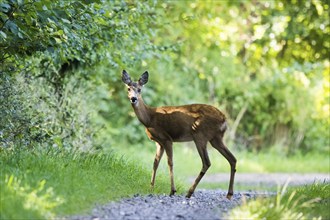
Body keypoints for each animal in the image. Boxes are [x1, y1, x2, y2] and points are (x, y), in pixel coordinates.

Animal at [122, 70, 236, 199]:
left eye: (139, 89)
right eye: (128, 89)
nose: (133, 98)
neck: (149, 118)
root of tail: (224, 118)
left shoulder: (167, 139)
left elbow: (170, 162)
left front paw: (172, 190)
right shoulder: (158, 142)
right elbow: (155, 163)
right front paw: (151, 188)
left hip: (200, 135)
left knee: (207, 162)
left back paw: (189, 192)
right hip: (216, 138)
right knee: (232, 159)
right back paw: (229, 194)